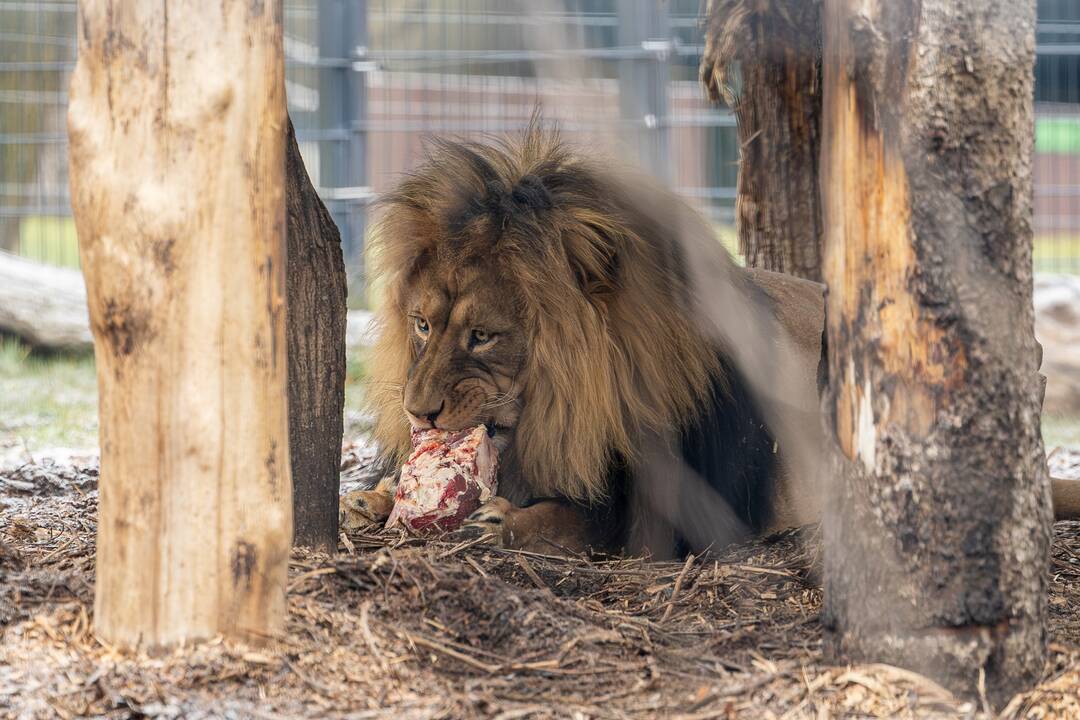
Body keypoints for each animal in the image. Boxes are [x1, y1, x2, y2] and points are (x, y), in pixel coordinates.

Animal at [343, 124, 1080, 557]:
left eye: (484, 335)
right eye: (421, 324)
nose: (417, 412)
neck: (564, 414)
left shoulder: (677, 511)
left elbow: (584, 520)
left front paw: (508, 521)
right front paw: (372, 499)